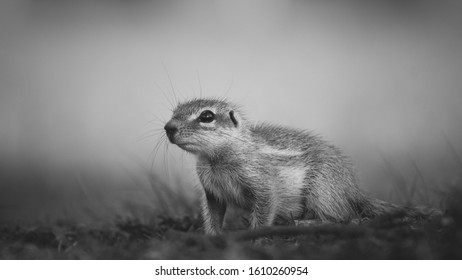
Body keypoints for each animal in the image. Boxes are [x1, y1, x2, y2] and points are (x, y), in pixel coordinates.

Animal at [164, 98, 398, 234]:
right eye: (174, 112)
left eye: (207, 116)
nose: (169, 127)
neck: (215, 159)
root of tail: (353, 188)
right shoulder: (212, 191)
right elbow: (213, 214)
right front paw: (213, 237)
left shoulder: (262, 181)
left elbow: (266, 205)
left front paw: (257, 236)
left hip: (321, 189)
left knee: (343, 217)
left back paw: (304, 224)